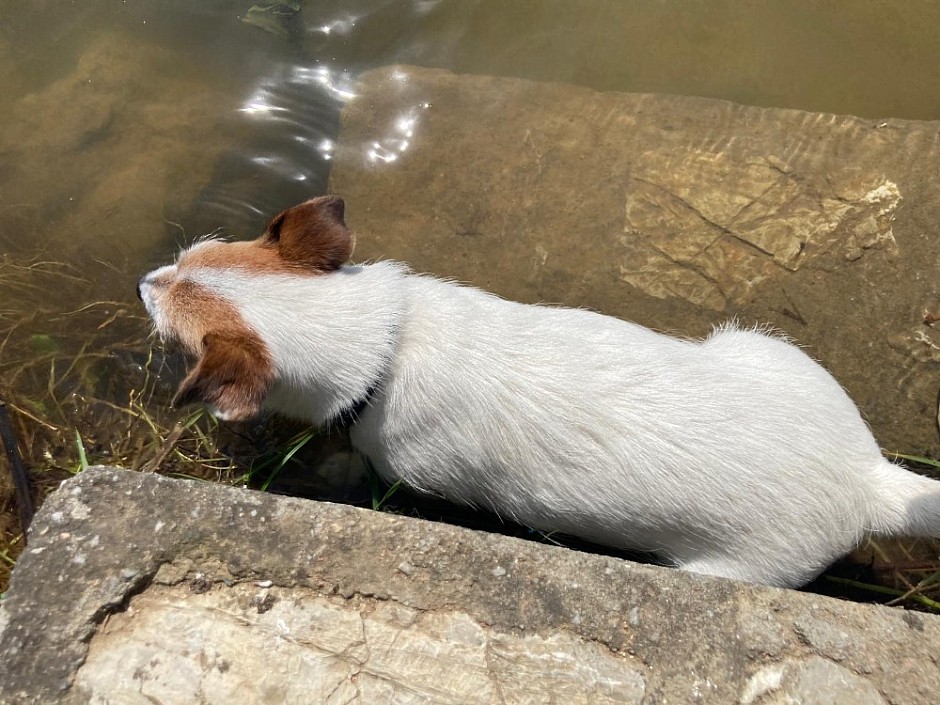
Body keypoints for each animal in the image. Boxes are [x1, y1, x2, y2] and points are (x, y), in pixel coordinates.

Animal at [140, 194, 940, 588]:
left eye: (174, 330)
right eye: (194, 253)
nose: (146, 279)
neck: (387, 345)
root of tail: (867, 478)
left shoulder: (404, 472)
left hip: (737, 569)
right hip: (761, 345)